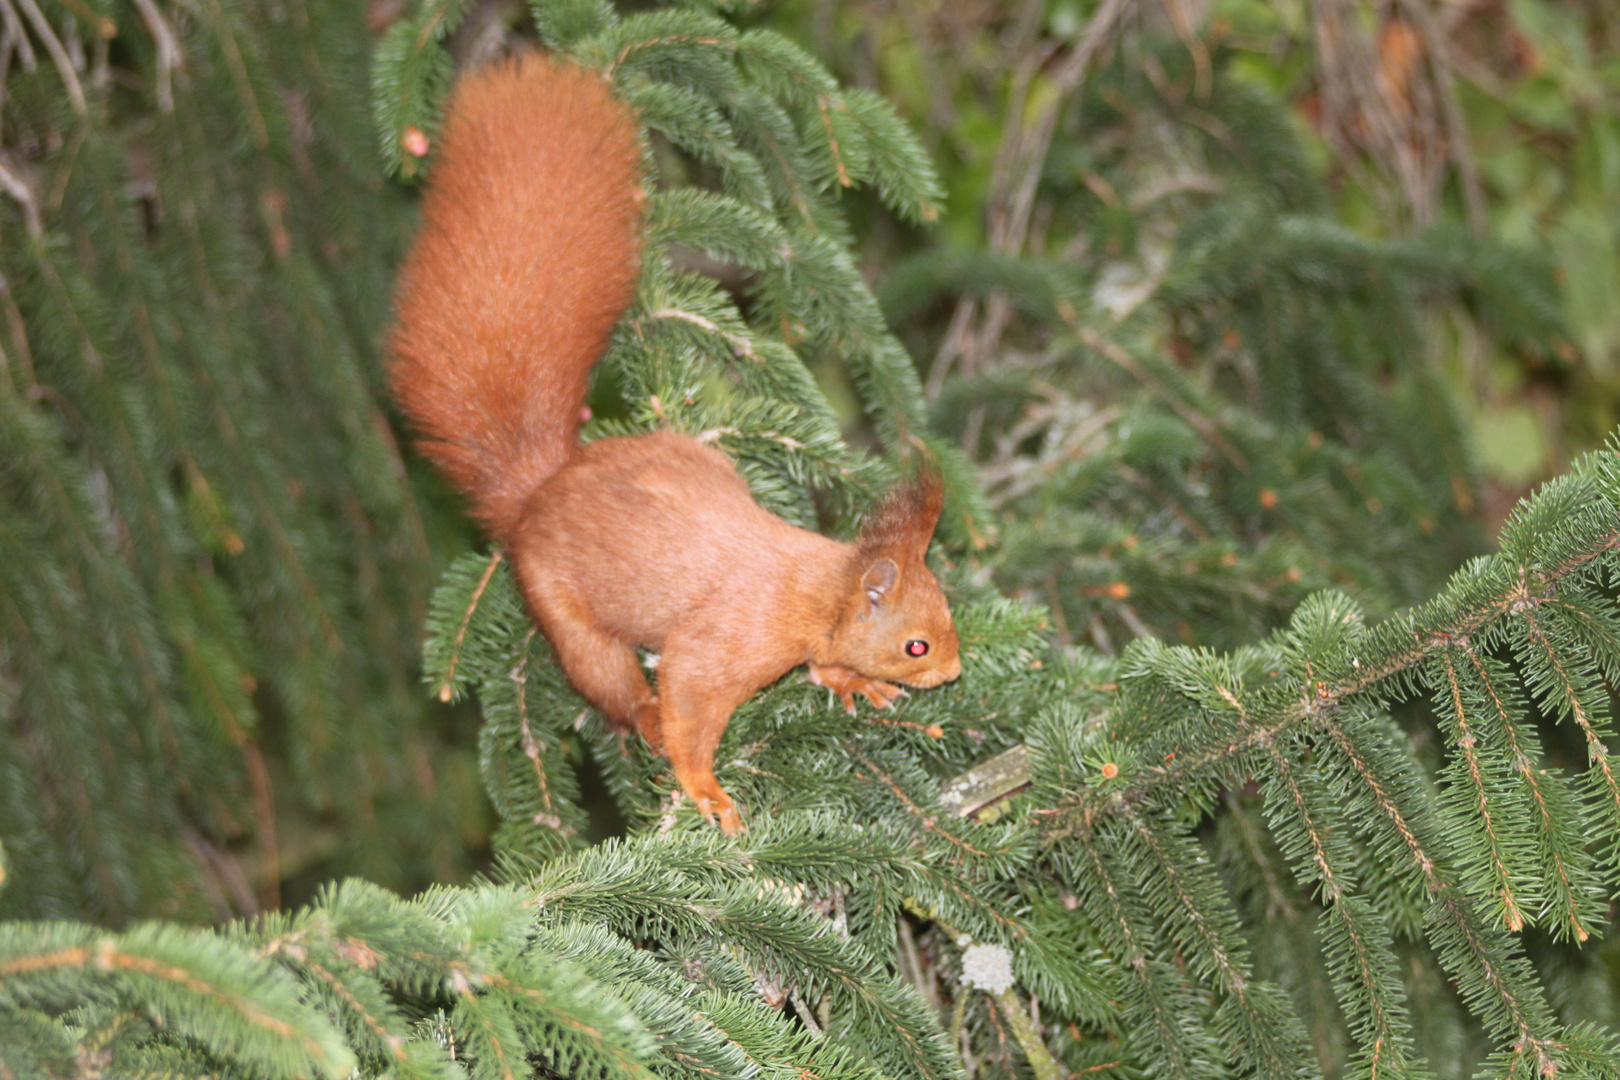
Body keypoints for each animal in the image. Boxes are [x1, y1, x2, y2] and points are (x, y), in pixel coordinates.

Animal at [388, 52, 959, 835]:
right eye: (916, 644)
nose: (953, 671)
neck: (815, 592)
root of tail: (539, 490)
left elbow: (821, 666)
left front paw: (848, 680)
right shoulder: (723, 645)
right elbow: (693, 706)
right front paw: (706, 791)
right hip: (565, 614)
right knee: (615, 687)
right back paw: (644, 718)